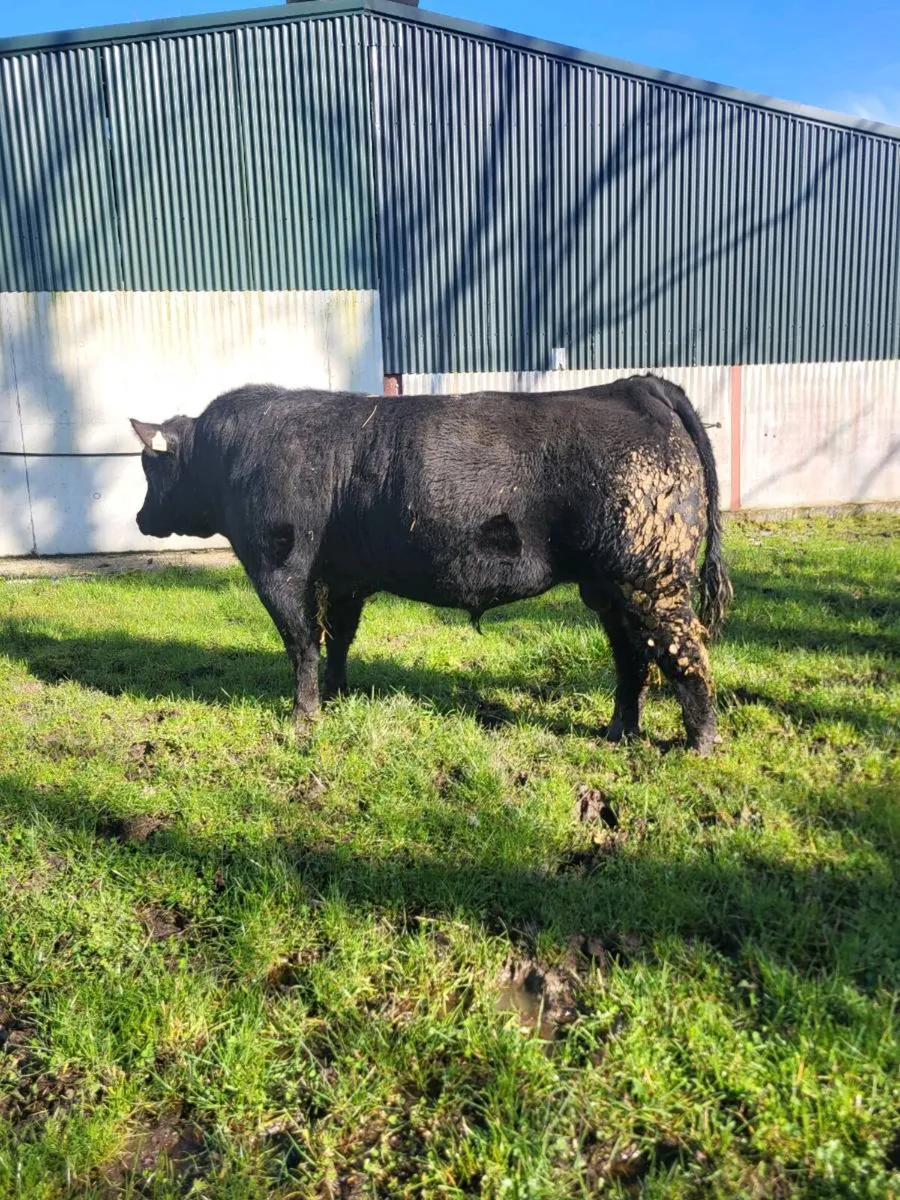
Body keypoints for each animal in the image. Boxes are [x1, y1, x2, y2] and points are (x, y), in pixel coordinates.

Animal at [130, 375, 732, 752]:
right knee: (633, 660)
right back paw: (618, 732)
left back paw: (700, 745)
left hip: (652, 579)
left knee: (686, 654)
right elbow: (338, 638)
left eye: (148, 466)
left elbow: (301, 642)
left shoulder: (278, 567)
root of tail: (635, 385)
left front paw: (304, 716)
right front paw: (337, 693)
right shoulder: (344, 577)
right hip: (609, 587)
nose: (137, 517)